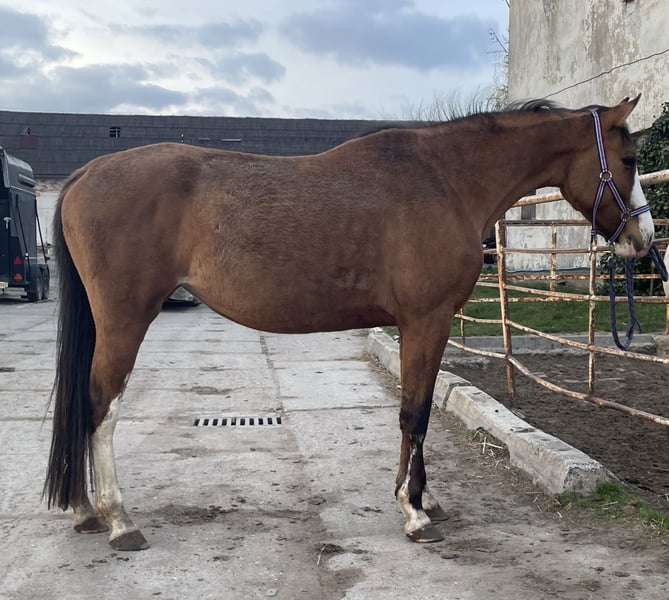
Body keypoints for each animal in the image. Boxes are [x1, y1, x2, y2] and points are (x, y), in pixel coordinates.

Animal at [44, 96, 655, 550]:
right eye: (628, 161)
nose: (642, 240)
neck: (446, 179)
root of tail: (85, 174)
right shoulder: (425, 321)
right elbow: (415, 413)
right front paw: (415, 512)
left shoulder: (420, 326)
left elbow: (418, 410)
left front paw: (426, 499)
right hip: (125, 320)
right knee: (100, 405)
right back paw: (119, 520)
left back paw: (86, 512)